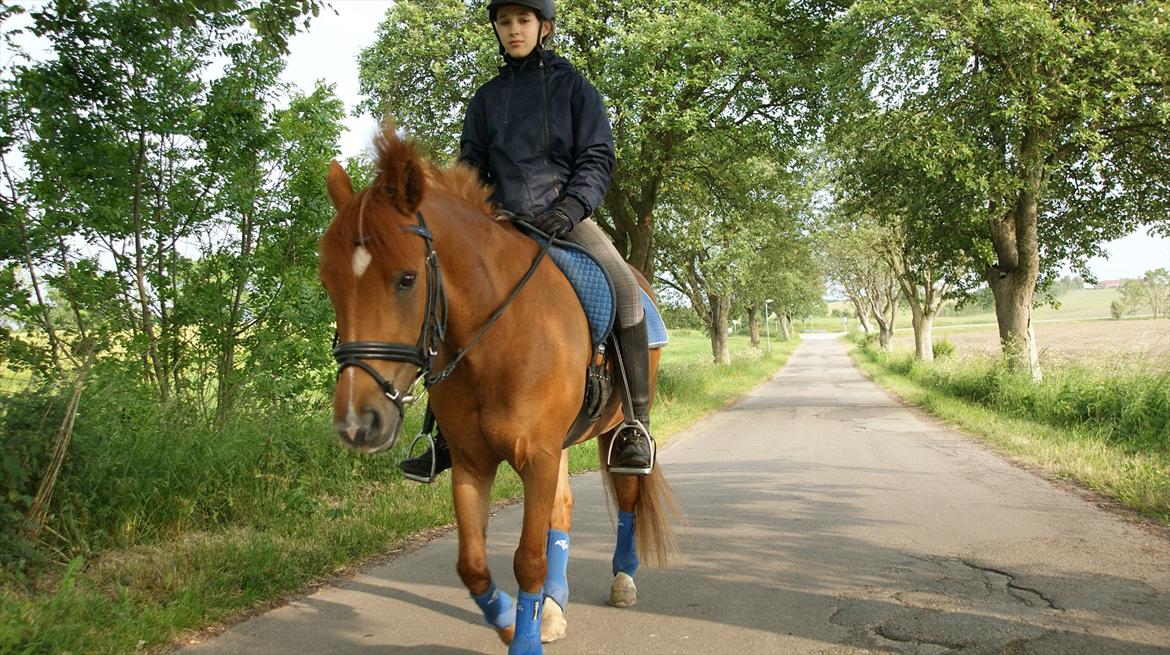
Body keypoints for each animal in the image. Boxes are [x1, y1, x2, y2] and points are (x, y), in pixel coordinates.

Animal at [318, 128, 678, 655]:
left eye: (406, 279)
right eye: (330, 283)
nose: (356, 422)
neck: (497, 336)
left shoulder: (537, 458)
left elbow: (527, 559)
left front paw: (523, 641)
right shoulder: (475, 461)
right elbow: (472, 565)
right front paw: (510, 620)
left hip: (615, 433)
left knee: (628, 496)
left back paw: (622, 581)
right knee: (563, 510)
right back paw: (553, 608)